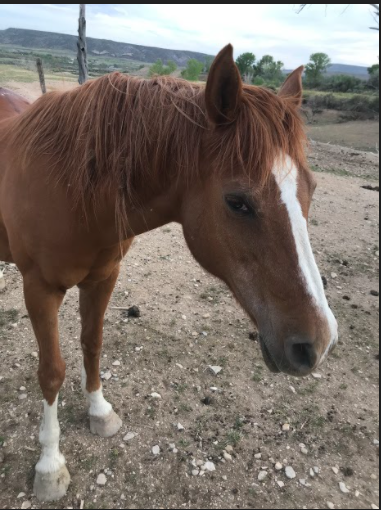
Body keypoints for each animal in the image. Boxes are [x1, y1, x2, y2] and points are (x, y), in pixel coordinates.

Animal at [0, 44, 338, 502]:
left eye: (312, 188)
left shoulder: (103, 277)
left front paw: (99, 411)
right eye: (238, 202)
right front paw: (50, 465)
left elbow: (93, 343)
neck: (72, 189)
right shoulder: (40, 289)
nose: (318, 343)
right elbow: (51, 372)